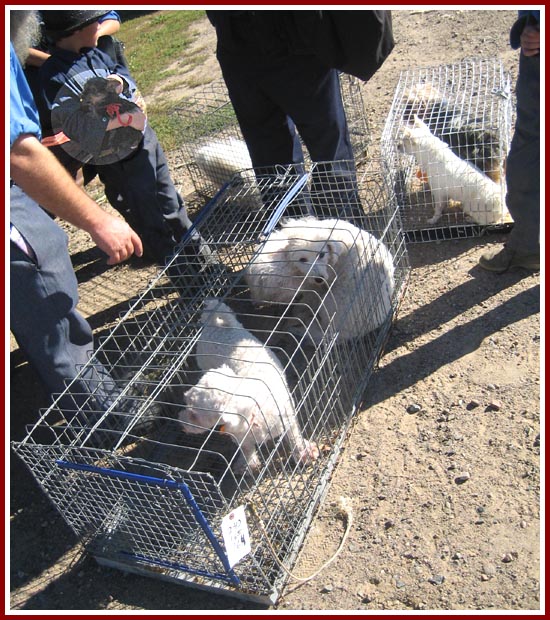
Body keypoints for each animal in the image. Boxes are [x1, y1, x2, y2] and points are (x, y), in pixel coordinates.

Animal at [181, 298, 320, 472]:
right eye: (186, 402)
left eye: (194, 415)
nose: (181, 424)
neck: (255, 409)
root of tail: (215, 323)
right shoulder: (239, 435)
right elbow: (246, 448)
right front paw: (248, 463)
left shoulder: (287, 419)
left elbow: (294, 436)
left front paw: (303, 453)